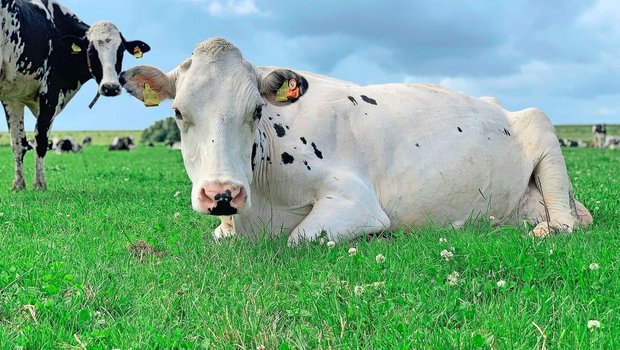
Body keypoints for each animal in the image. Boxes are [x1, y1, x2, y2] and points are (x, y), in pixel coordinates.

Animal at [0, 0, 150, 190]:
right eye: (91, 52)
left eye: (121, 51)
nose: (110, 87)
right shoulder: (50, 92)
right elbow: (41, 141)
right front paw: (40, 185)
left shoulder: (13, 97)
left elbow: (18, 142)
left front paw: (18, 185)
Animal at [120, 38, 592, 245]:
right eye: (179, 113)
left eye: (255, 110)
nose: (223, 194)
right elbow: (220, 236)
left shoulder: (357, 202)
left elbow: (299, 237)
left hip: (541, 126)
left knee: (565, 221)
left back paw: (550, 228)